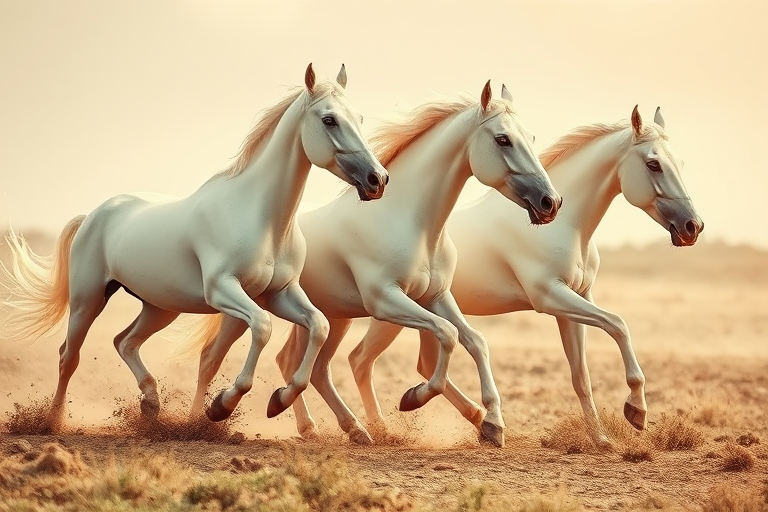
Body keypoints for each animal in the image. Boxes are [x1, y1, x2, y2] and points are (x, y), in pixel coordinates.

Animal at [0, 63, 389, 431]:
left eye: (359, 118)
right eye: (329, 119)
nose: (377, 180)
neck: (260, 217)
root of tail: (93, 215)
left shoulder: (281, 293)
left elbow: (318, 325)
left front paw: (278, 399)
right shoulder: (224, 290)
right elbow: (261, 328)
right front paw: (222, 406)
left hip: (159, 307)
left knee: (125, 342)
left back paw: (151, 404)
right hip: (88, 299)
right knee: (69, 356)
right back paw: (53, 422)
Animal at [180, 81, 563, 448]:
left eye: (530, 137)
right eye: (503, 139)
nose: (551, 202)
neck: (410, 222)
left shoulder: (436, 297)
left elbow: (474, 341)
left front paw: (493, 425)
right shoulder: (387, 301)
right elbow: (447, 334)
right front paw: (414, 398)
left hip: (333, 316)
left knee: (305, 365)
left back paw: (336, 427)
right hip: (248, 307)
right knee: (213, 357)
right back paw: (207, 417)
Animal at [349, 106, 704, 450]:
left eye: (681, 162)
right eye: (654, 164)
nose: (693, 227)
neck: (568, 226)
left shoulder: (576, 301)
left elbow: (582, 375)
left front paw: (602, 439)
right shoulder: (551, 297)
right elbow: (618, 324)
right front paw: (636, 411)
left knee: (419, 363)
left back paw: (469, 418)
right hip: (391, 312)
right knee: (361, 360)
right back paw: (386, 426)